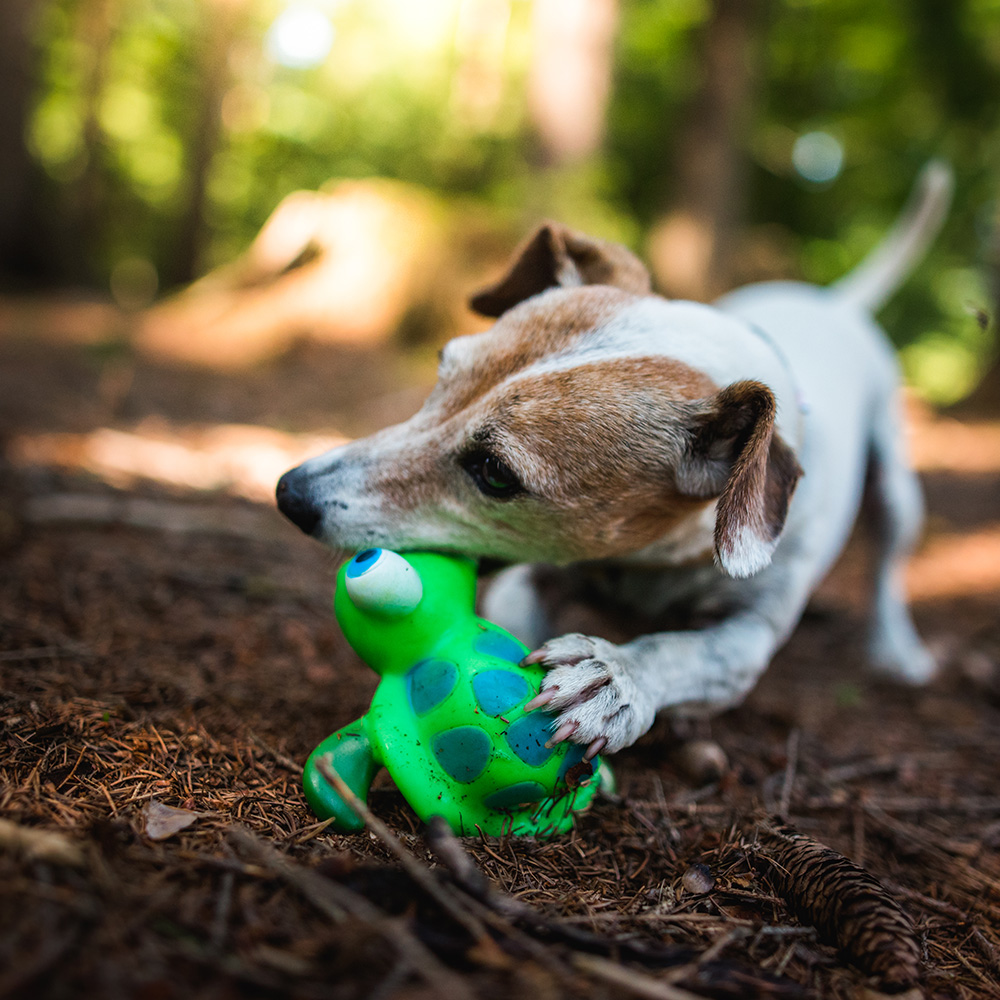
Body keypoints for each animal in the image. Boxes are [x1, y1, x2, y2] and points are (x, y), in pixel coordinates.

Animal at [278, 162, 948, 756]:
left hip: (898, 491)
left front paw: (617, 676)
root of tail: (831, 303)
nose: (290, 494)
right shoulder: (529, 579)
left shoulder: (749, 635)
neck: (650, 563)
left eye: (495, 474)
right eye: (443, 373)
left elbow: (684, 650)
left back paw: (897, 649)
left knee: (888, 563)